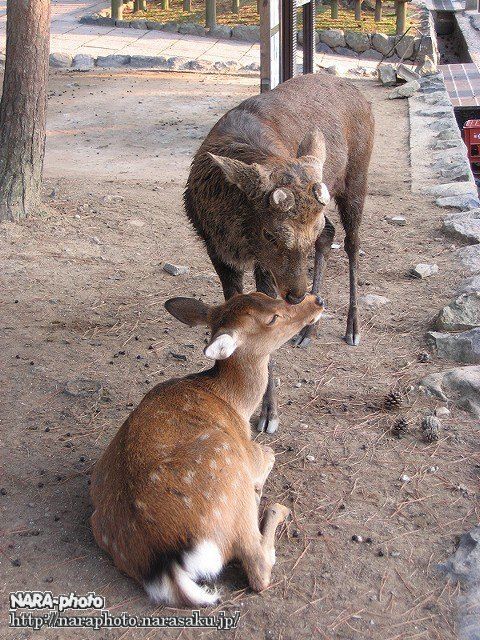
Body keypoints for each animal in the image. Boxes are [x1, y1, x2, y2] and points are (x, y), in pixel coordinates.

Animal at [90, 292, 324, 608]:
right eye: (272, 318)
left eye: (263, 294)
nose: (316, 300)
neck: (234, 402)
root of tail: (166, 564)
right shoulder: (252, 453)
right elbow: (271, 453)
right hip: (232, 475)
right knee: (258, 567)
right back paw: (274, 507)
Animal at [184, 72, 376, 436]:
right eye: (270, 233)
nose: (297, 294)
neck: (239, 235)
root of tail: (356, 90)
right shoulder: (217, 251)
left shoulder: (263, 267)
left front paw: (269, 411)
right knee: (332, 234)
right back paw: (309, 330)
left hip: (357, 174)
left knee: (352, 242)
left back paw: (353, 327)